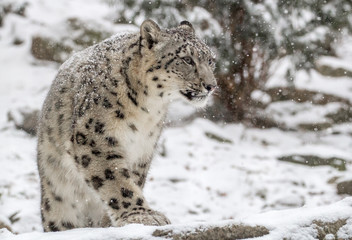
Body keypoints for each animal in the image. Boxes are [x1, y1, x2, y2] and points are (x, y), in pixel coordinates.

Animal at [37, 19, 216, 232]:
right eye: (187, 59)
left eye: (211, 60)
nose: (211, 85)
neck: (148, 110)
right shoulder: (95, 137)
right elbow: (116, 179)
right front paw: (141, 215)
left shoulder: (143, 148)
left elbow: (134, 179)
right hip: (58, 198)